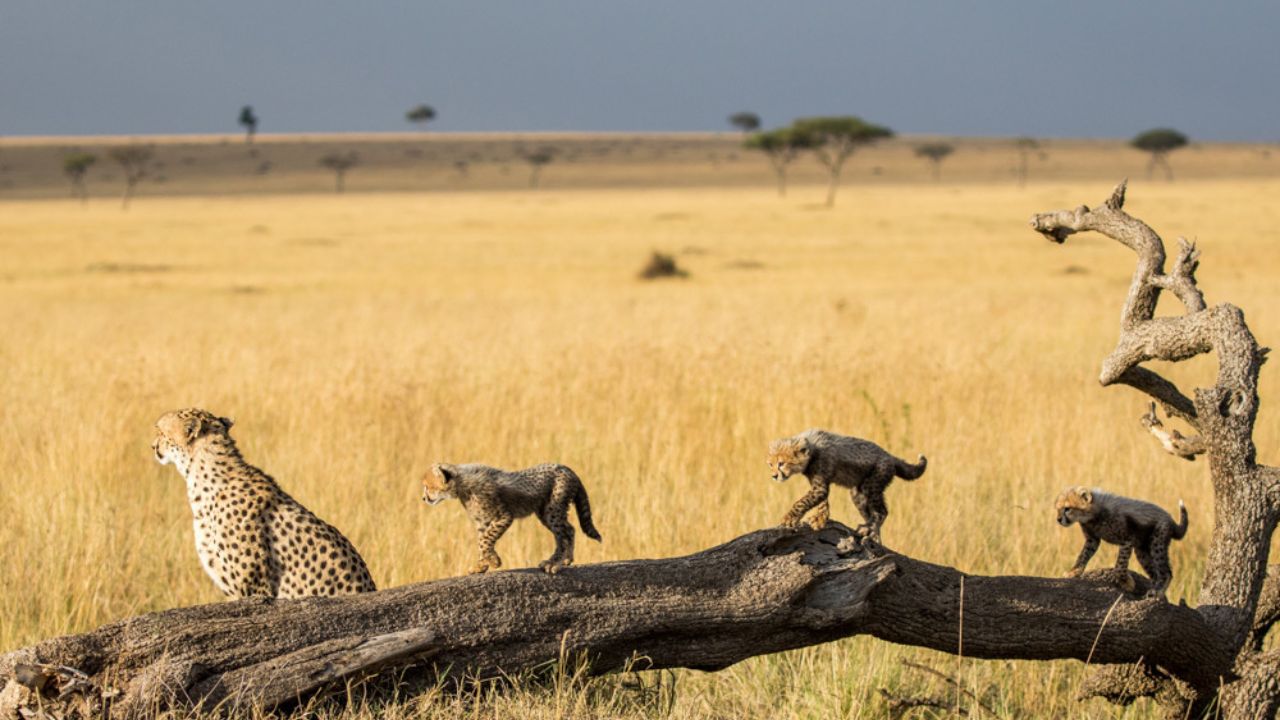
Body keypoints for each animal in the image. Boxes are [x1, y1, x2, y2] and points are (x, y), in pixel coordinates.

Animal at [422, 462, 601, 575]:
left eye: (427, 487)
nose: (423, 498)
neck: (462, 484)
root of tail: (566, 468)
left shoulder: (503, 517)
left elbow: (485, 540)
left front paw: (494, 561)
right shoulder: (482, 522)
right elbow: (482, 542)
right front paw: (481, 566)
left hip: (553, 510)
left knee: (564, 534)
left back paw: (553, 564)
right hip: (545, 513)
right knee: (569, 530)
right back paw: (566, 560)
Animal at [767, 428, 927, 542]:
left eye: (781, 463)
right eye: (770, 464)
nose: (774, 476)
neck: (812, 448)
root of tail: (889, 455)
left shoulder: (820, 484)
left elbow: (801, 502)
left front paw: (788, 518)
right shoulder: (819, 484)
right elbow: (822, 502)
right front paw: (820, 519)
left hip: (872, 484)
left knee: (882, 511)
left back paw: (870, 530)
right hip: (857, 494)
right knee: (869, 512)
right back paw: (872, 534)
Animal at [1055, 485, 1188, 599]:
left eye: (1067, 509)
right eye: (1058, 509)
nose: (1058, 519)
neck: (1093, 513)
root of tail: (1170, 518)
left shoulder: (1127, 540)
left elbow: (1120, 564)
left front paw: (1126, 583)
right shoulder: (1092, 540)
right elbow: (1083, 555)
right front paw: (1073, 572)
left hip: (1157, 542)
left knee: (1166, 572)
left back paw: (1157, 592)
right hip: (1142, 552)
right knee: (1155, 573)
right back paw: (1152, 591)